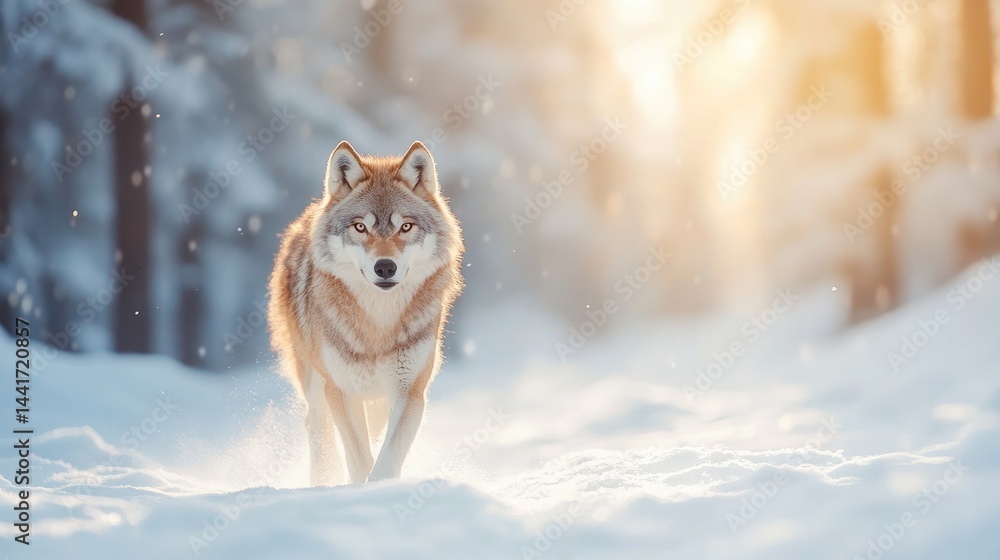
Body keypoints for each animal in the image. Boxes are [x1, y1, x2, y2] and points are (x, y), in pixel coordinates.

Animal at [268, 140, 463, 484]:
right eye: (361, 226)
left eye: (405, 226)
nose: (385, 267)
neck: (377, 326)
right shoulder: (341, 391)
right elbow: (359, 459)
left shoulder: (410, 390)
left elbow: (386, 459)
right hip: (315, 388)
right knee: (319, 434)